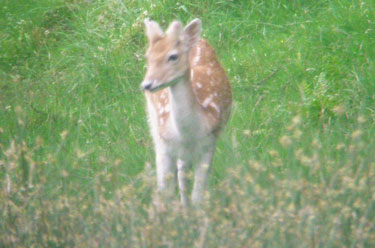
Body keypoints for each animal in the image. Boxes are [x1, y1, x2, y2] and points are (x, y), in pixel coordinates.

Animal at [142, 18, 232, 205]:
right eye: (148, 57)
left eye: (173, 56)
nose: (147, 84)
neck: (188, 134)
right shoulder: (165, 145)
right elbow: (164, 193)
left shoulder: (208, 144)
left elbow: (198, 196)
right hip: (154, 124)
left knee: (183, 172)